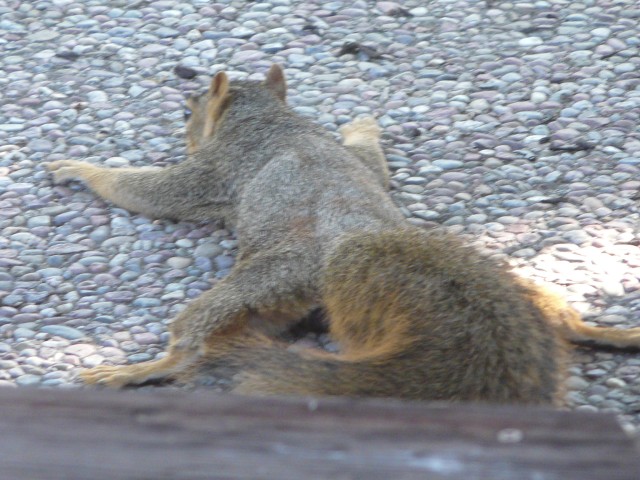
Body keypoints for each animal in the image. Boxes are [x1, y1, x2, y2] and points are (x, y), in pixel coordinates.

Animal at [47, 64, 640, 404]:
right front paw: (362, 125)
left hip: (268, 276)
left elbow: (154, 191)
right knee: (563, 321)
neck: (272, 121)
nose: (184, 122)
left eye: (188, 110)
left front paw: (80, 169)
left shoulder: (214, 173)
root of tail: (354, 240)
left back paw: (137, 370)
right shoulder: (351, 162)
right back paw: (604, 332)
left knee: (195, 345)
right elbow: (370, 158)